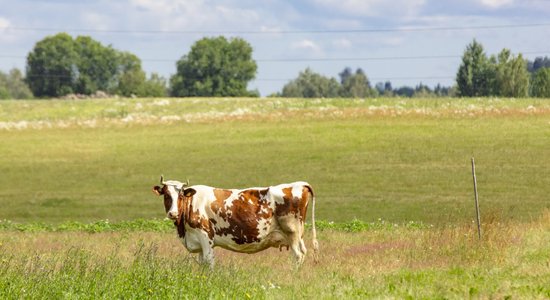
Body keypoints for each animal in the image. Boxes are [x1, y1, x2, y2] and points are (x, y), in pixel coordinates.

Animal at [153, 175, 322, 268]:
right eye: (166, 195)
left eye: (181, 195)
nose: (173, 213)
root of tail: (299, 184)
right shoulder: (198, 242)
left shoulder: (206, 238)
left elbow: (209, 263)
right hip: (297, 235)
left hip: (292, 232)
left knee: (298, 255)